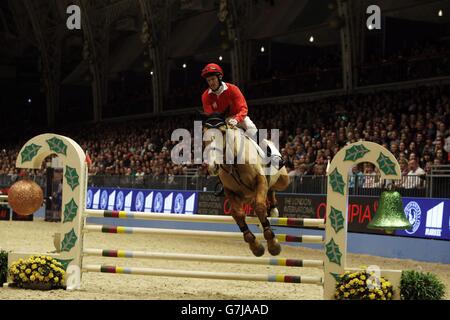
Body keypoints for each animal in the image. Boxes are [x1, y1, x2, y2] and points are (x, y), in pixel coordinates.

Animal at [202, 111, 290, 256]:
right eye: (204, 134)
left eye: (223, 132)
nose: (212, 165)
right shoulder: (230, 191)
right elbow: (238, 214)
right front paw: (256, 247)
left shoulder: (260, 180)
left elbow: (260, 207)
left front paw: (273, 244)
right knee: (267, 192)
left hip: (283, 180)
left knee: (271, 188)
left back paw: (273, 210)